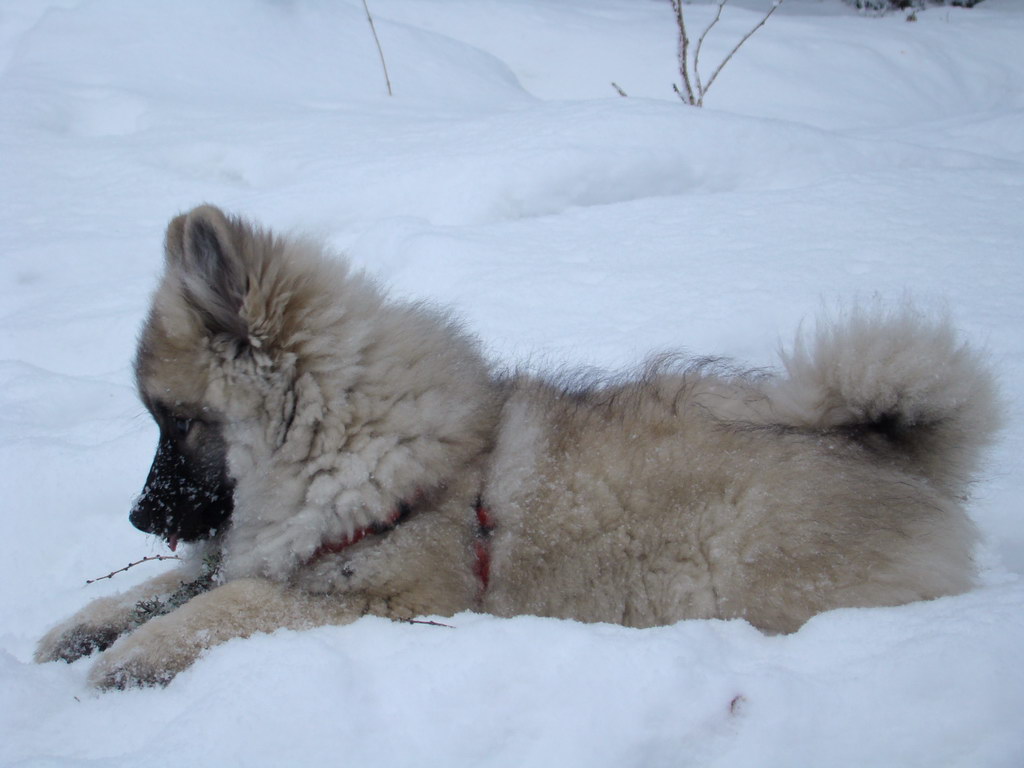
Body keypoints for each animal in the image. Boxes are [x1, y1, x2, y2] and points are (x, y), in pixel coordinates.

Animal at [36, 205, 995, 692]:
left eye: (175, 422)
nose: (138, 516)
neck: (350, 440)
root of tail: (902, 460)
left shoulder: (390, 600)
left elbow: (225, 605)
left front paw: (133, 658)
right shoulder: (276, 550)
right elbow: (173, 584)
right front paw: (82, 628)